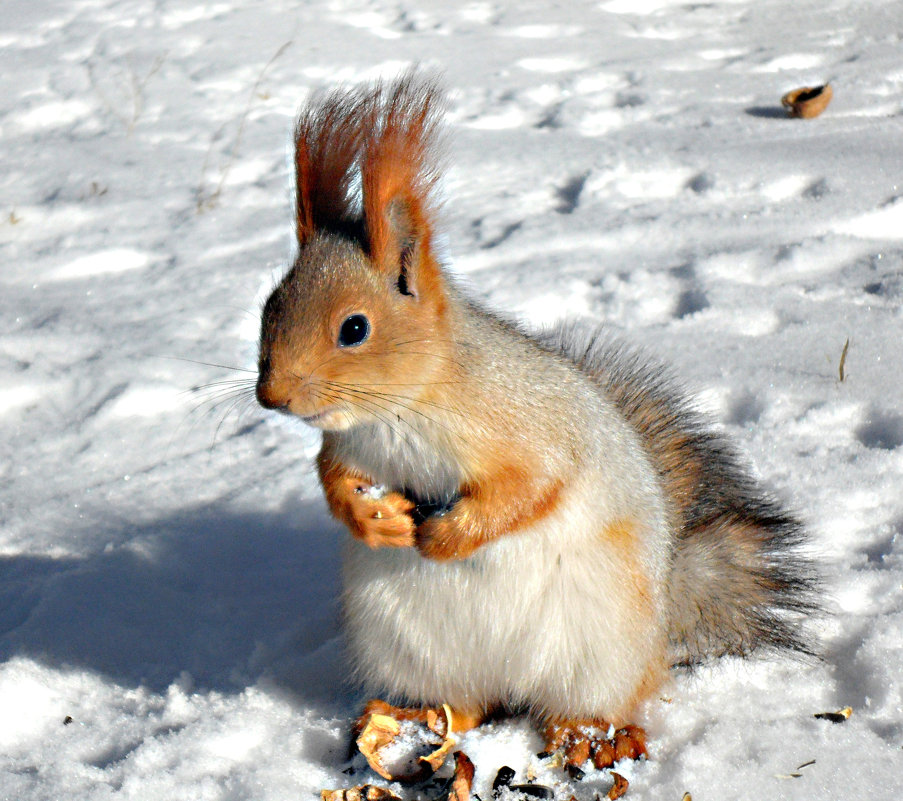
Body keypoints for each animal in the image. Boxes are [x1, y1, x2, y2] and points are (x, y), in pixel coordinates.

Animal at [256, 75, 820, 768]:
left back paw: (586, 733)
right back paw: (416, 719)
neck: (400, 414)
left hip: (600, 648)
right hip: (409, 646)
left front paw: (443, 538)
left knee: (587, 701)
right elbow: (334, 484)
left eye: (354, 328)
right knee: (467, 705)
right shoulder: (347, 448)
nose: (272, 396)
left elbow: (530, 489)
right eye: (269, 307)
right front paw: (373, 519)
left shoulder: (530, 430)